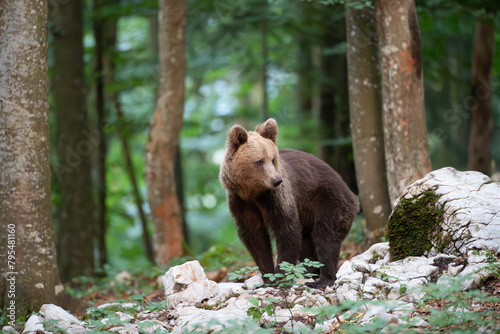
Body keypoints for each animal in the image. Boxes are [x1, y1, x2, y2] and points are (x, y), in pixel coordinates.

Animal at [220, 118, 360, 288]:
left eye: (273, 159)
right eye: (259, 161)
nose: (276, 180)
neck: (254, 193)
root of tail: (353, 195)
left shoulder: (277, 198)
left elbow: (287, 229)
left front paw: (281, 277)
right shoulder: (241, 203)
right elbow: (255, 237)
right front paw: (267, 278)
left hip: (329, 200)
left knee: (326, 237)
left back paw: (322, 280)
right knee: (306, 244)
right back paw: (310, 273)